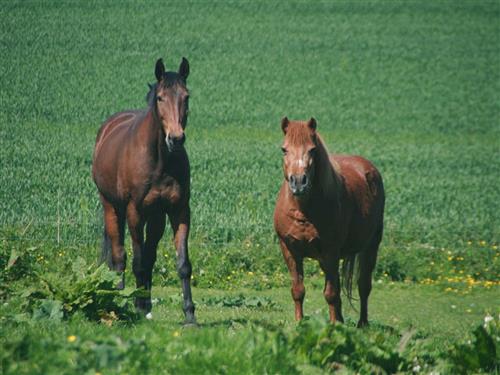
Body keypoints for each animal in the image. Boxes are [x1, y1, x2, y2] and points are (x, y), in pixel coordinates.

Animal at [92, 57, 195, 324]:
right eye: (160, 98)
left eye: (186, 96)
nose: (176, 139)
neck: (160, 159)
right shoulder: (134, 211)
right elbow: (137, 261)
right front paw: (137, 305)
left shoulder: (179, 211)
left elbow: (182, 264)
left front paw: (190, 314)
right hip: (111, 206)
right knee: (119, 256)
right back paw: (119, 297)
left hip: (156, 217)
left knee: (148, 257)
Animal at [274, 117, 386, 326]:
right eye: (284, 149)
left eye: (312, 150)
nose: (298, 182)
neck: (303, 211)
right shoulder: (289, 250)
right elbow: (298, 290)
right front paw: (299, 323)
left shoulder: (330, 251)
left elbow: (331, 294)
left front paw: (334, 327)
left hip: (371, 245)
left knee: (363, 285)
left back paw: (362, 324)